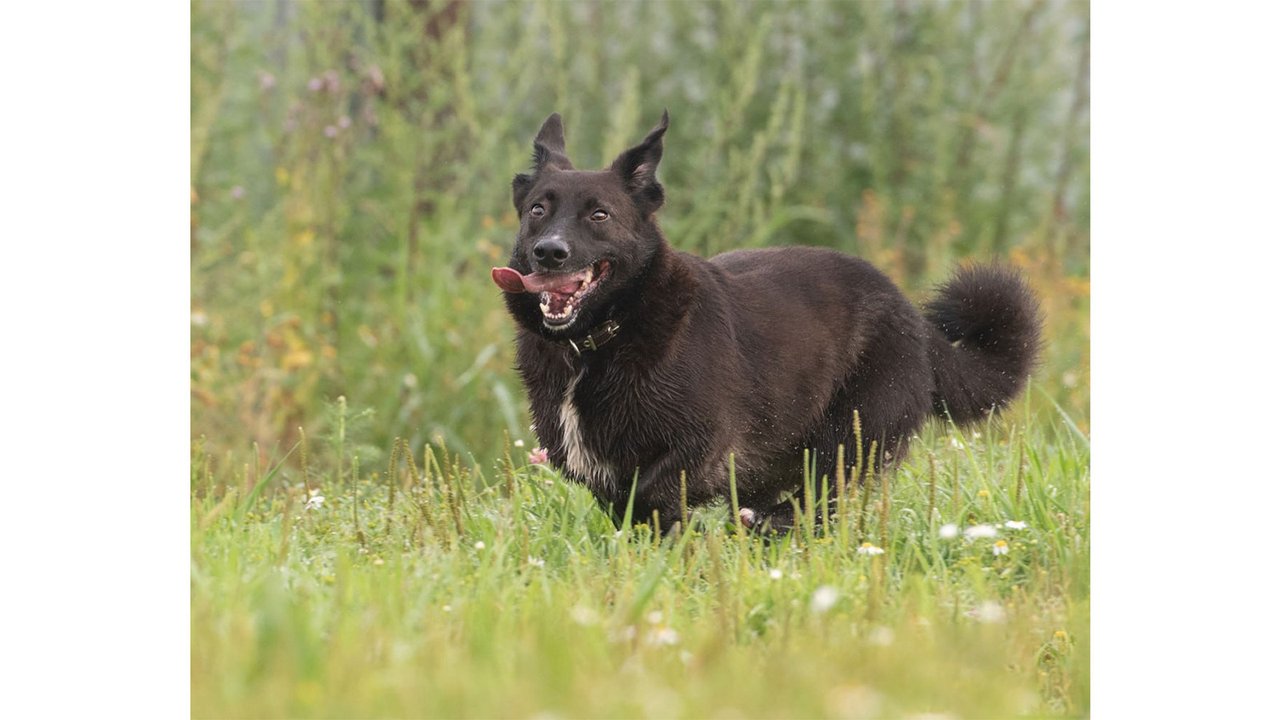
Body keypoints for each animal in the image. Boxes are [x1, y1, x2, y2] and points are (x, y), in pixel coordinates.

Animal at [488, 110, 1039, 527]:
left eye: (599, 215)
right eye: (538, 210)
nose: (549, 253)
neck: (600, 338)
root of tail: (914, 318)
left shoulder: (704, 445)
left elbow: (649, 495)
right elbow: (630, 508)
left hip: (851, 438)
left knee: (817, 502)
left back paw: (768, 526)